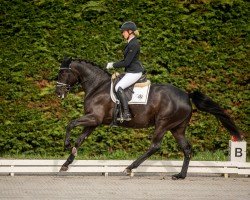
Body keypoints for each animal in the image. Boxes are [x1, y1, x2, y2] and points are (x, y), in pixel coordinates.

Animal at [55, 57, 241, 179]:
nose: (58, 93)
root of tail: (186, 95)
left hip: (163, 124)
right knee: (187, 149)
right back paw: (180, 175)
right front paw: (66, 163)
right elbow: (80, 140)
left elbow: (70, 124)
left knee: (155, 146)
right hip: (177, 128)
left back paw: (129, 168)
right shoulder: (94, 122)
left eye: (63, 73)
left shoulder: (94, 118)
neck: (97, 86)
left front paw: (66, 145)